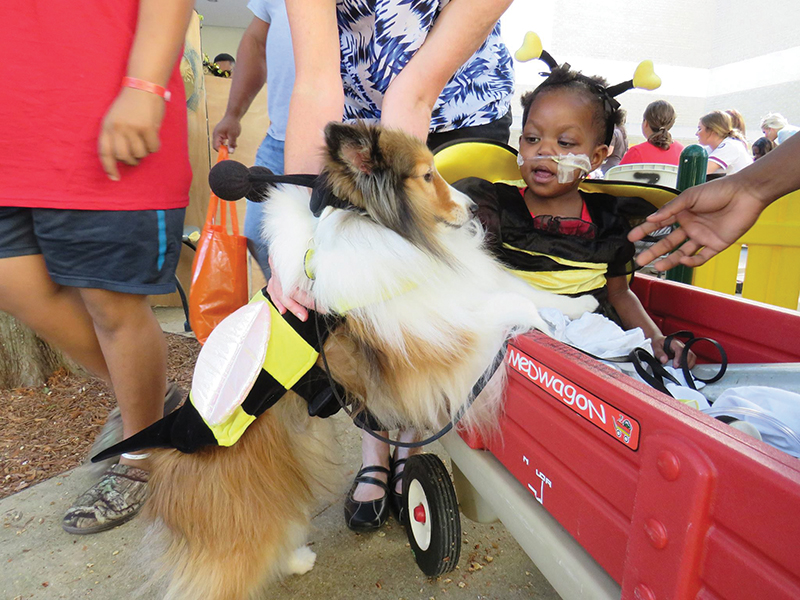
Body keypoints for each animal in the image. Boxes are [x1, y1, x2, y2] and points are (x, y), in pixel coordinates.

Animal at [141, 120, 596, 596]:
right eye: (427, 175)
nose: (474, 209)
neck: (387, 230)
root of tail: (166, 455)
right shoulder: (435, 340)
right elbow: (510, 306)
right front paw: (551, 328)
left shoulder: (455, 294)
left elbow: (524, 292)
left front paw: (579, 307)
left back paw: (298, 559)